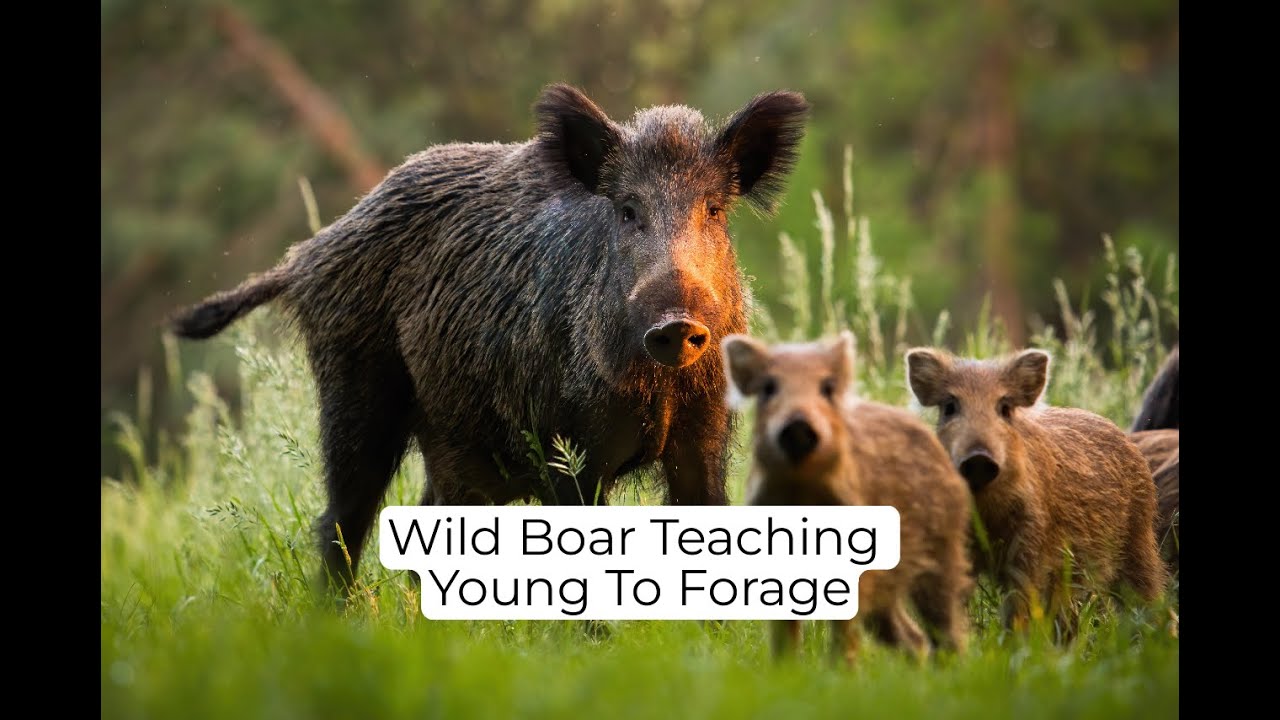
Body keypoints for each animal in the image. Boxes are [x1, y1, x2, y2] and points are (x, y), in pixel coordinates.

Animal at [169, 83, 810, 589]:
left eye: (714, 210)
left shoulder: (706, 430)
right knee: (342, 521)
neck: (659, 390)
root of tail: (309, 251)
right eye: (628, 211)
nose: (675, 323)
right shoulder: (566, 444)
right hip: (354, 383)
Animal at [723, 331, 973, 665]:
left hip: (943, 553)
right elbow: (784, 629)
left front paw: (839, 670)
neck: (802, 491)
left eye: (827, 388)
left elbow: (844, 626)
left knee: (947, 626)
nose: (798, 426)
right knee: (912, 637)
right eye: (768, 388)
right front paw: (785, 669)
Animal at [905, 347, 1167, 632]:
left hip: (1137, 544)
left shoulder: (1032, 545)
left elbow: (1019, 609)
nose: (978, 459)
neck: (987, 512)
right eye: (950, 407)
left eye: (1005, 408)